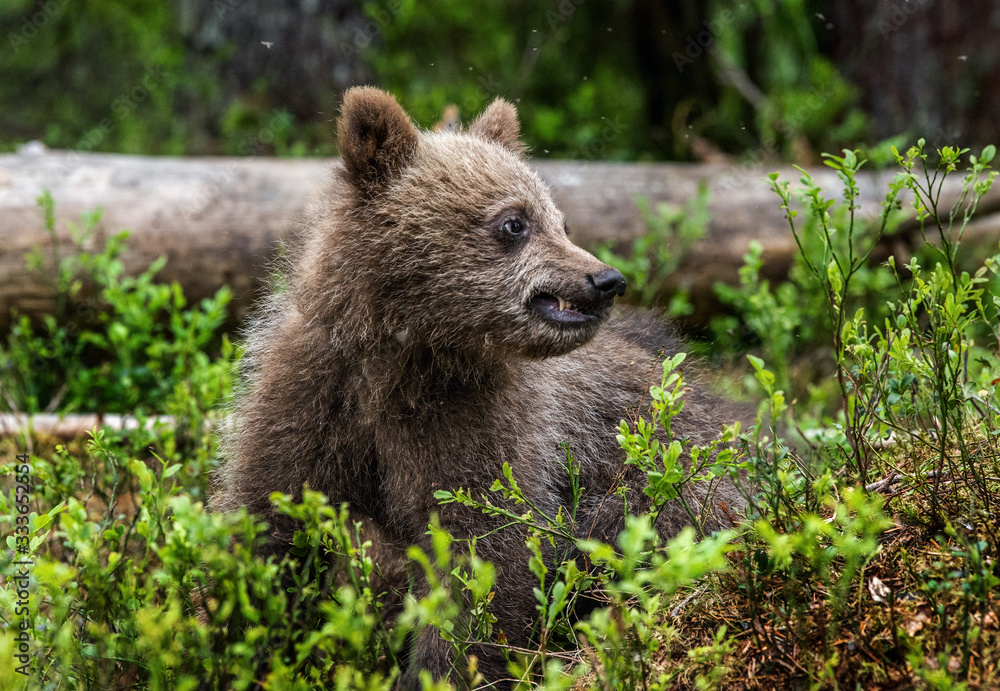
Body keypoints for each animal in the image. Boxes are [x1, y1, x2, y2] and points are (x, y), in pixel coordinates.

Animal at [213, 86, 743, 689]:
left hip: (676, 480)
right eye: (515, 222)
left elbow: (480, 558)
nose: (606, 280)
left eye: (560, 220)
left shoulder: (479, 426)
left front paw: (440, 669)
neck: (407, 359)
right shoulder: (313, 399)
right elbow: (269, 523)